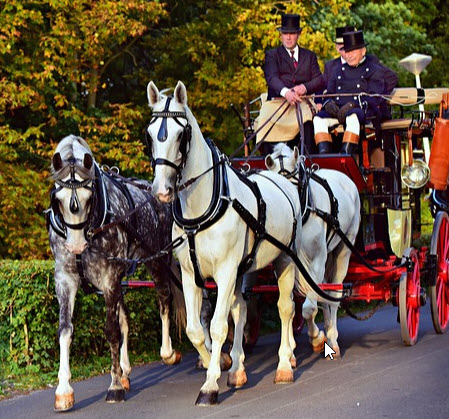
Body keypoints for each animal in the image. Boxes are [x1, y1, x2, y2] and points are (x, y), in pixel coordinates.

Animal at [145, 82, 302, 406]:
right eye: (150, 133)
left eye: (181, 134)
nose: (162, 190)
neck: (204, 206)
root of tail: (280, 178)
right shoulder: (191, 274)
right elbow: (195, 329)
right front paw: (220, 364)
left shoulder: (226, 270)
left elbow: (218, 326)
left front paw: (210, 385)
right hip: (245, 269)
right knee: (240, 309)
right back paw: (238, 369)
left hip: (284, 260)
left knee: (285, 308)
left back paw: (284, 365)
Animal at [266, 144, 360, 358]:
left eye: (295, 186)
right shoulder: (286, 262)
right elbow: (291, 303)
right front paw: (291, 348)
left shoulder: (317, 260)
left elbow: (308, 308)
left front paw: (317, 338)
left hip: (344, 249)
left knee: (334, 293)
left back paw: (332, 338)